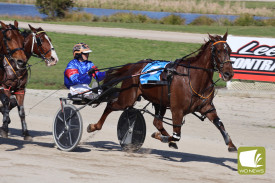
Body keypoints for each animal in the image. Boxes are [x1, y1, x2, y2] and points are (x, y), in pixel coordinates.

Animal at [88, 32, 237, 152]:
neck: (193, 78)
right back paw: (94, 126)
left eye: (229, 50)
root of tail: (134, 66)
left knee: (157, 122)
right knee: (110, 105)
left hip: (160, 102)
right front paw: (161, 137)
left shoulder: (207, 107)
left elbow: (220, 123)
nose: (228, 73)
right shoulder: (177, 110)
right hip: (127, 98)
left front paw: (231, 145)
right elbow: (177, 136)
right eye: (218, 51)